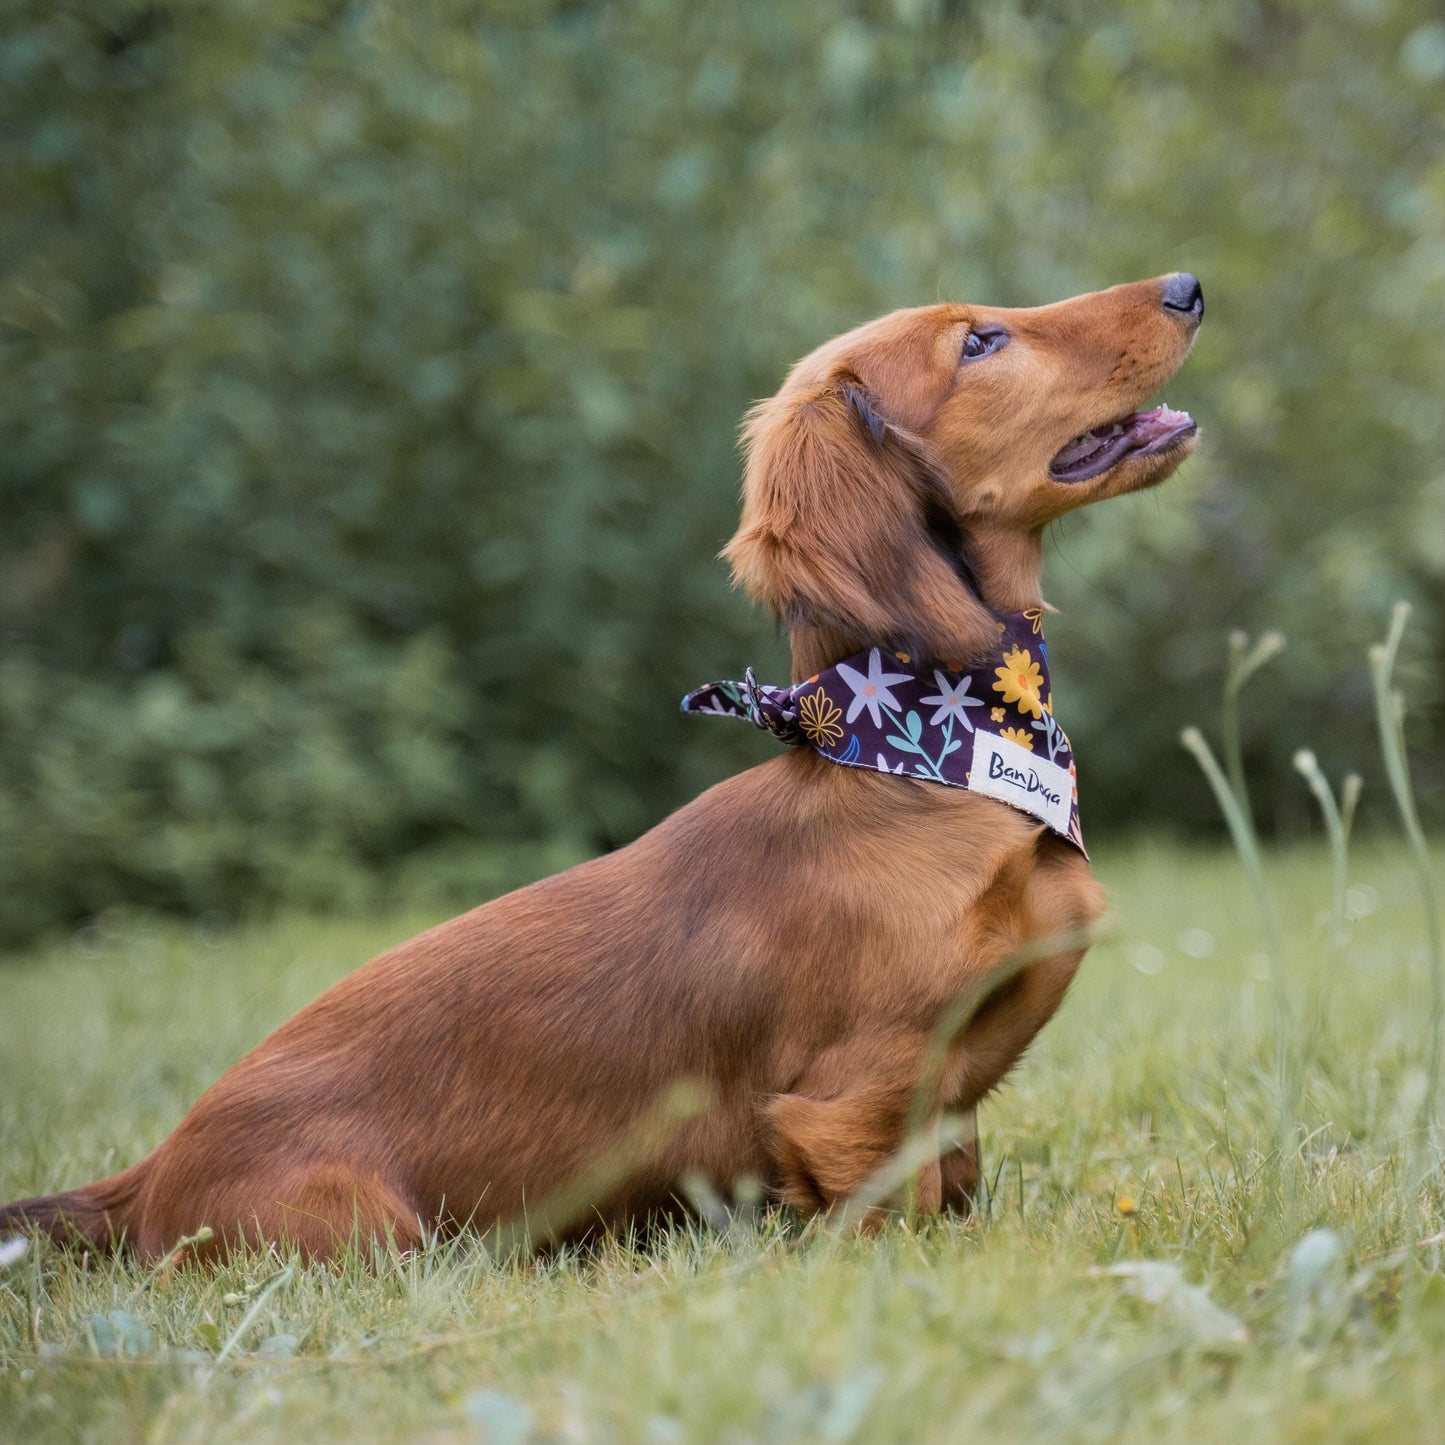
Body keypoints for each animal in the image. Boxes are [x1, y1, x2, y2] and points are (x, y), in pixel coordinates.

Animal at [0, 273, 1202, 1265]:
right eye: (979, 341)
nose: (1187, 286)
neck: (919, 759)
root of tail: (149, 1172)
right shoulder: (853, 1104)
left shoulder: (943, 1114)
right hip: (371, 1233)